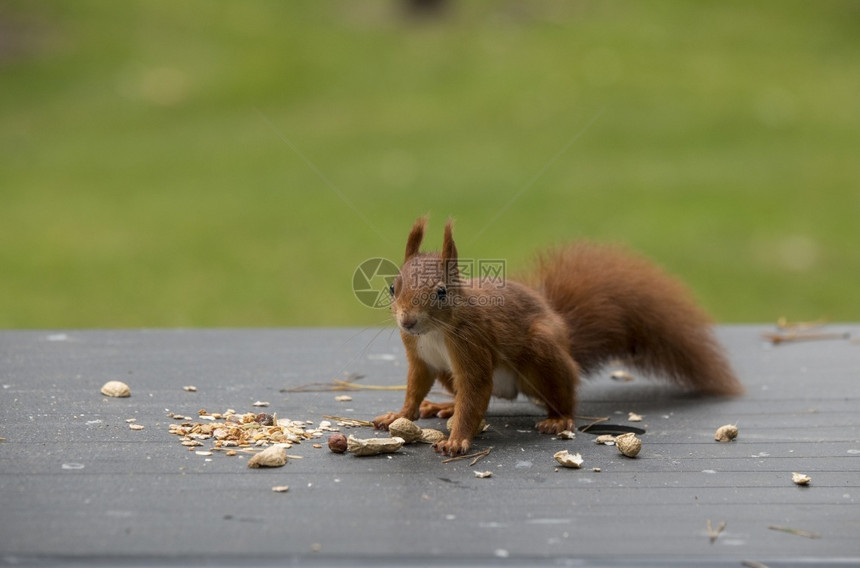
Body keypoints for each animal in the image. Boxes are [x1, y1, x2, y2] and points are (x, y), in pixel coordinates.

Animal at [372, 215, 744, 454]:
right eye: (392, 287)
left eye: (441, 292)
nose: (407, 322)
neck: (435, 331)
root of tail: (565, 336)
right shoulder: (419, 356)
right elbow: (416, 386)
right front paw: (399, 415)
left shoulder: (472, 345)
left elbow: (476, 388)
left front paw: (457, 440)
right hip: (451, 375)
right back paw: (446, 405)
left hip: (542, 352)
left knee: (561, 395)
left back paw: (558, 418)